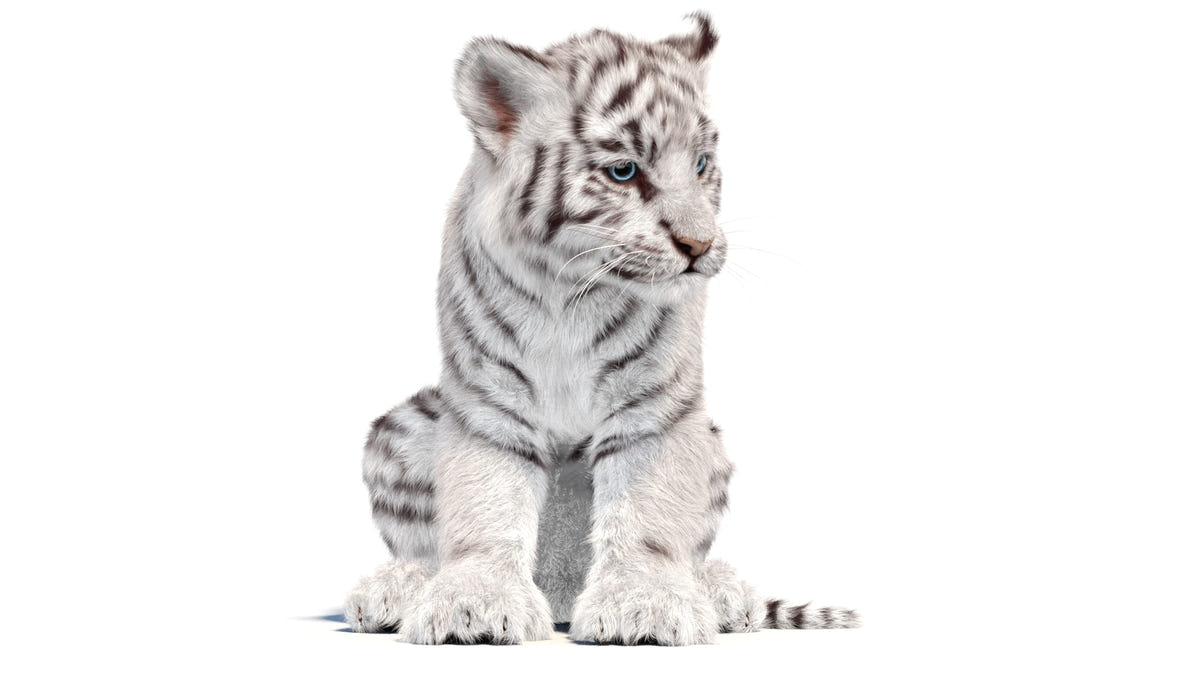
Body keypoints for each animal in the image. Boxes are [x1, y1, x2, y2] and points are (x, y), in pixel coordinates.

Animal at [343, 13, 860, 645]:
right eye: (624, 171)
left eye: (701, 164)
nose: (700, 245)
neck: (571, 289)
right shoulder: (489, 399)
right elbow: (486, 501)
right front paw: (474, 606)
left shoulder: (655, 405)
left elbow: (646, 512)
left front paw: (645, 606)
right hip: (401, 426)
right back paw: (394, 591)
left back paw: (721, 594)